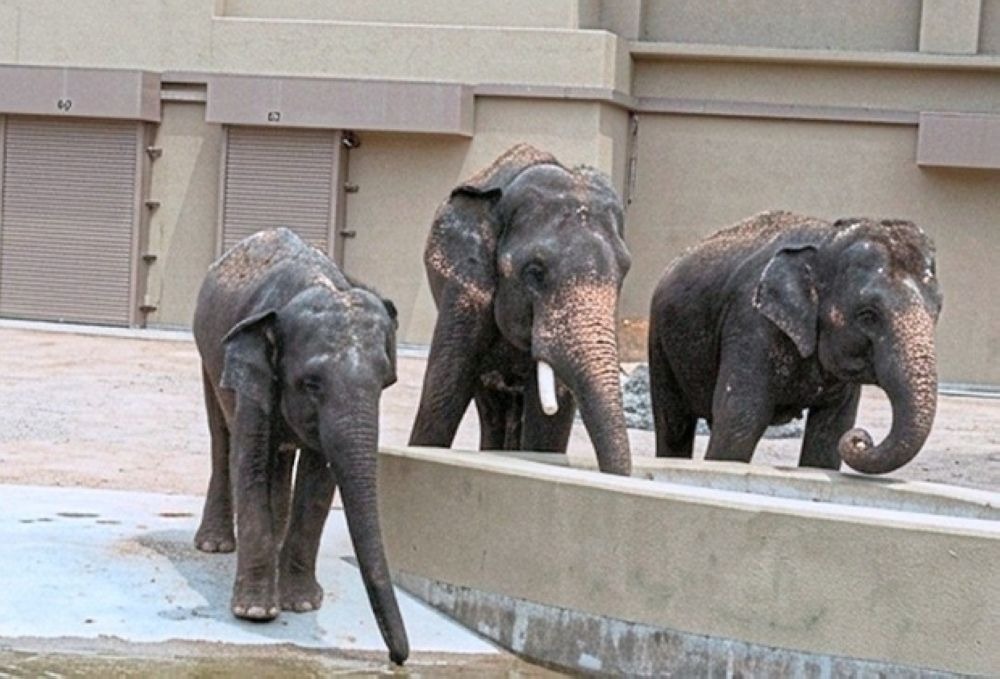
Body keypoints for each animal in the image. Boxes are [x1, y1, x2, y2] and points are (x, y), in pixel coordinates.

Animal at [192, 228, 408, 665]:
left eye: (385, 382)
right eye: (311, 383)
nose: (398, 659)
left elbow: (320, 478)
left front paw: (303, 605)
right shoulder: (252, 374)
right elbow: (250, 462)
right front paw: (255, 612)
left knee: (279, 457)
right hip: (208, 358)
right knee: (222, 439)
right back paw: (214, 545)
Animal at [648, 210, 942, 474]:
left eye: (937, 311)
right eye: (868, 315)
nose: (861, 440)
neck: (828, 239)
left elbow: (831, 432)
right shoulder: (751, 324)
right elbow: (740, 419)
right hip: (660, 342)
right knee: (674, 424)